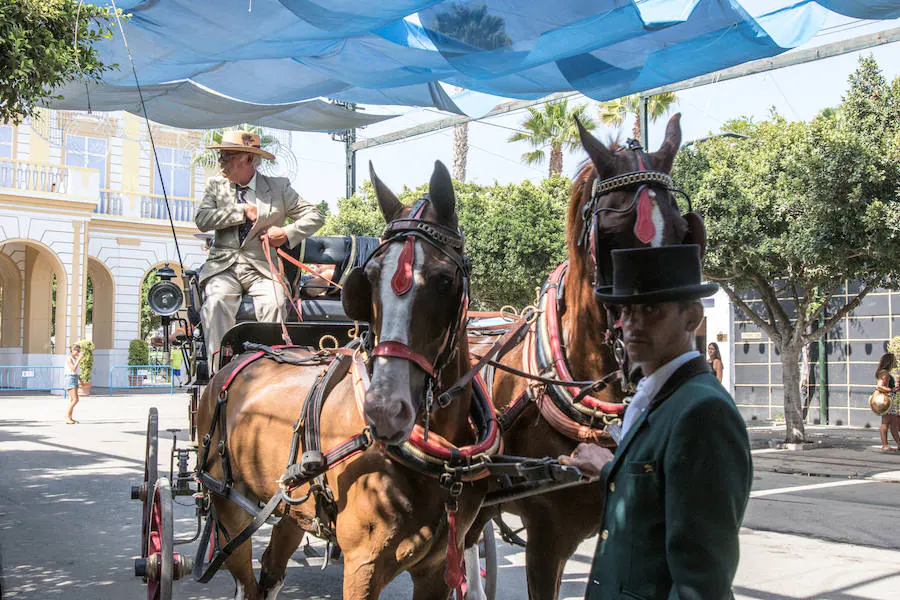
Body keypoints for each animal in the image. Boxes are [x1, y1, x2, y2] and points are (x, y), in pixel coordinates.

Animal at [198, 161, 488, 600]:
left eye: (444, 281)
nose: (384, 410)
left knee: (271, 571)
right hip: (227, 505)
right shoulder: (362, 566)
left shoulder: (437, 566)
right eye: (368, 280)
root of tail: (243, 353)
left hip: (290, 505)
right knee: (247, 581)